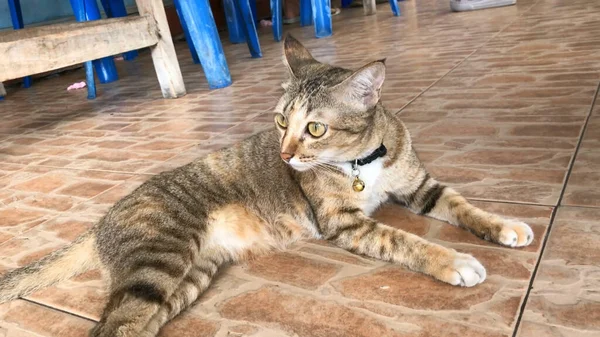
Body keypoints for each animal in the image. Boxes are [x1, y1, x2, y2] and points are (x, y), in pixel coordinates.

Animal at [0, 34, 536, 336]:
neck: (363, 162)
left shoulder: (422, 185)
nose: (284, 154)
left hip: (186, 278)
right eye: (280, 122)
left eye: (314, 128)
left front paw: (505, 226)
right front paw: (456, 262)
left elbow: (465, 206)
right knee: (113, 326)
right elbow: (406, 240)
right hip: (159, 258)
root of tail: (100, 222)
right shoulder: (346, 226)